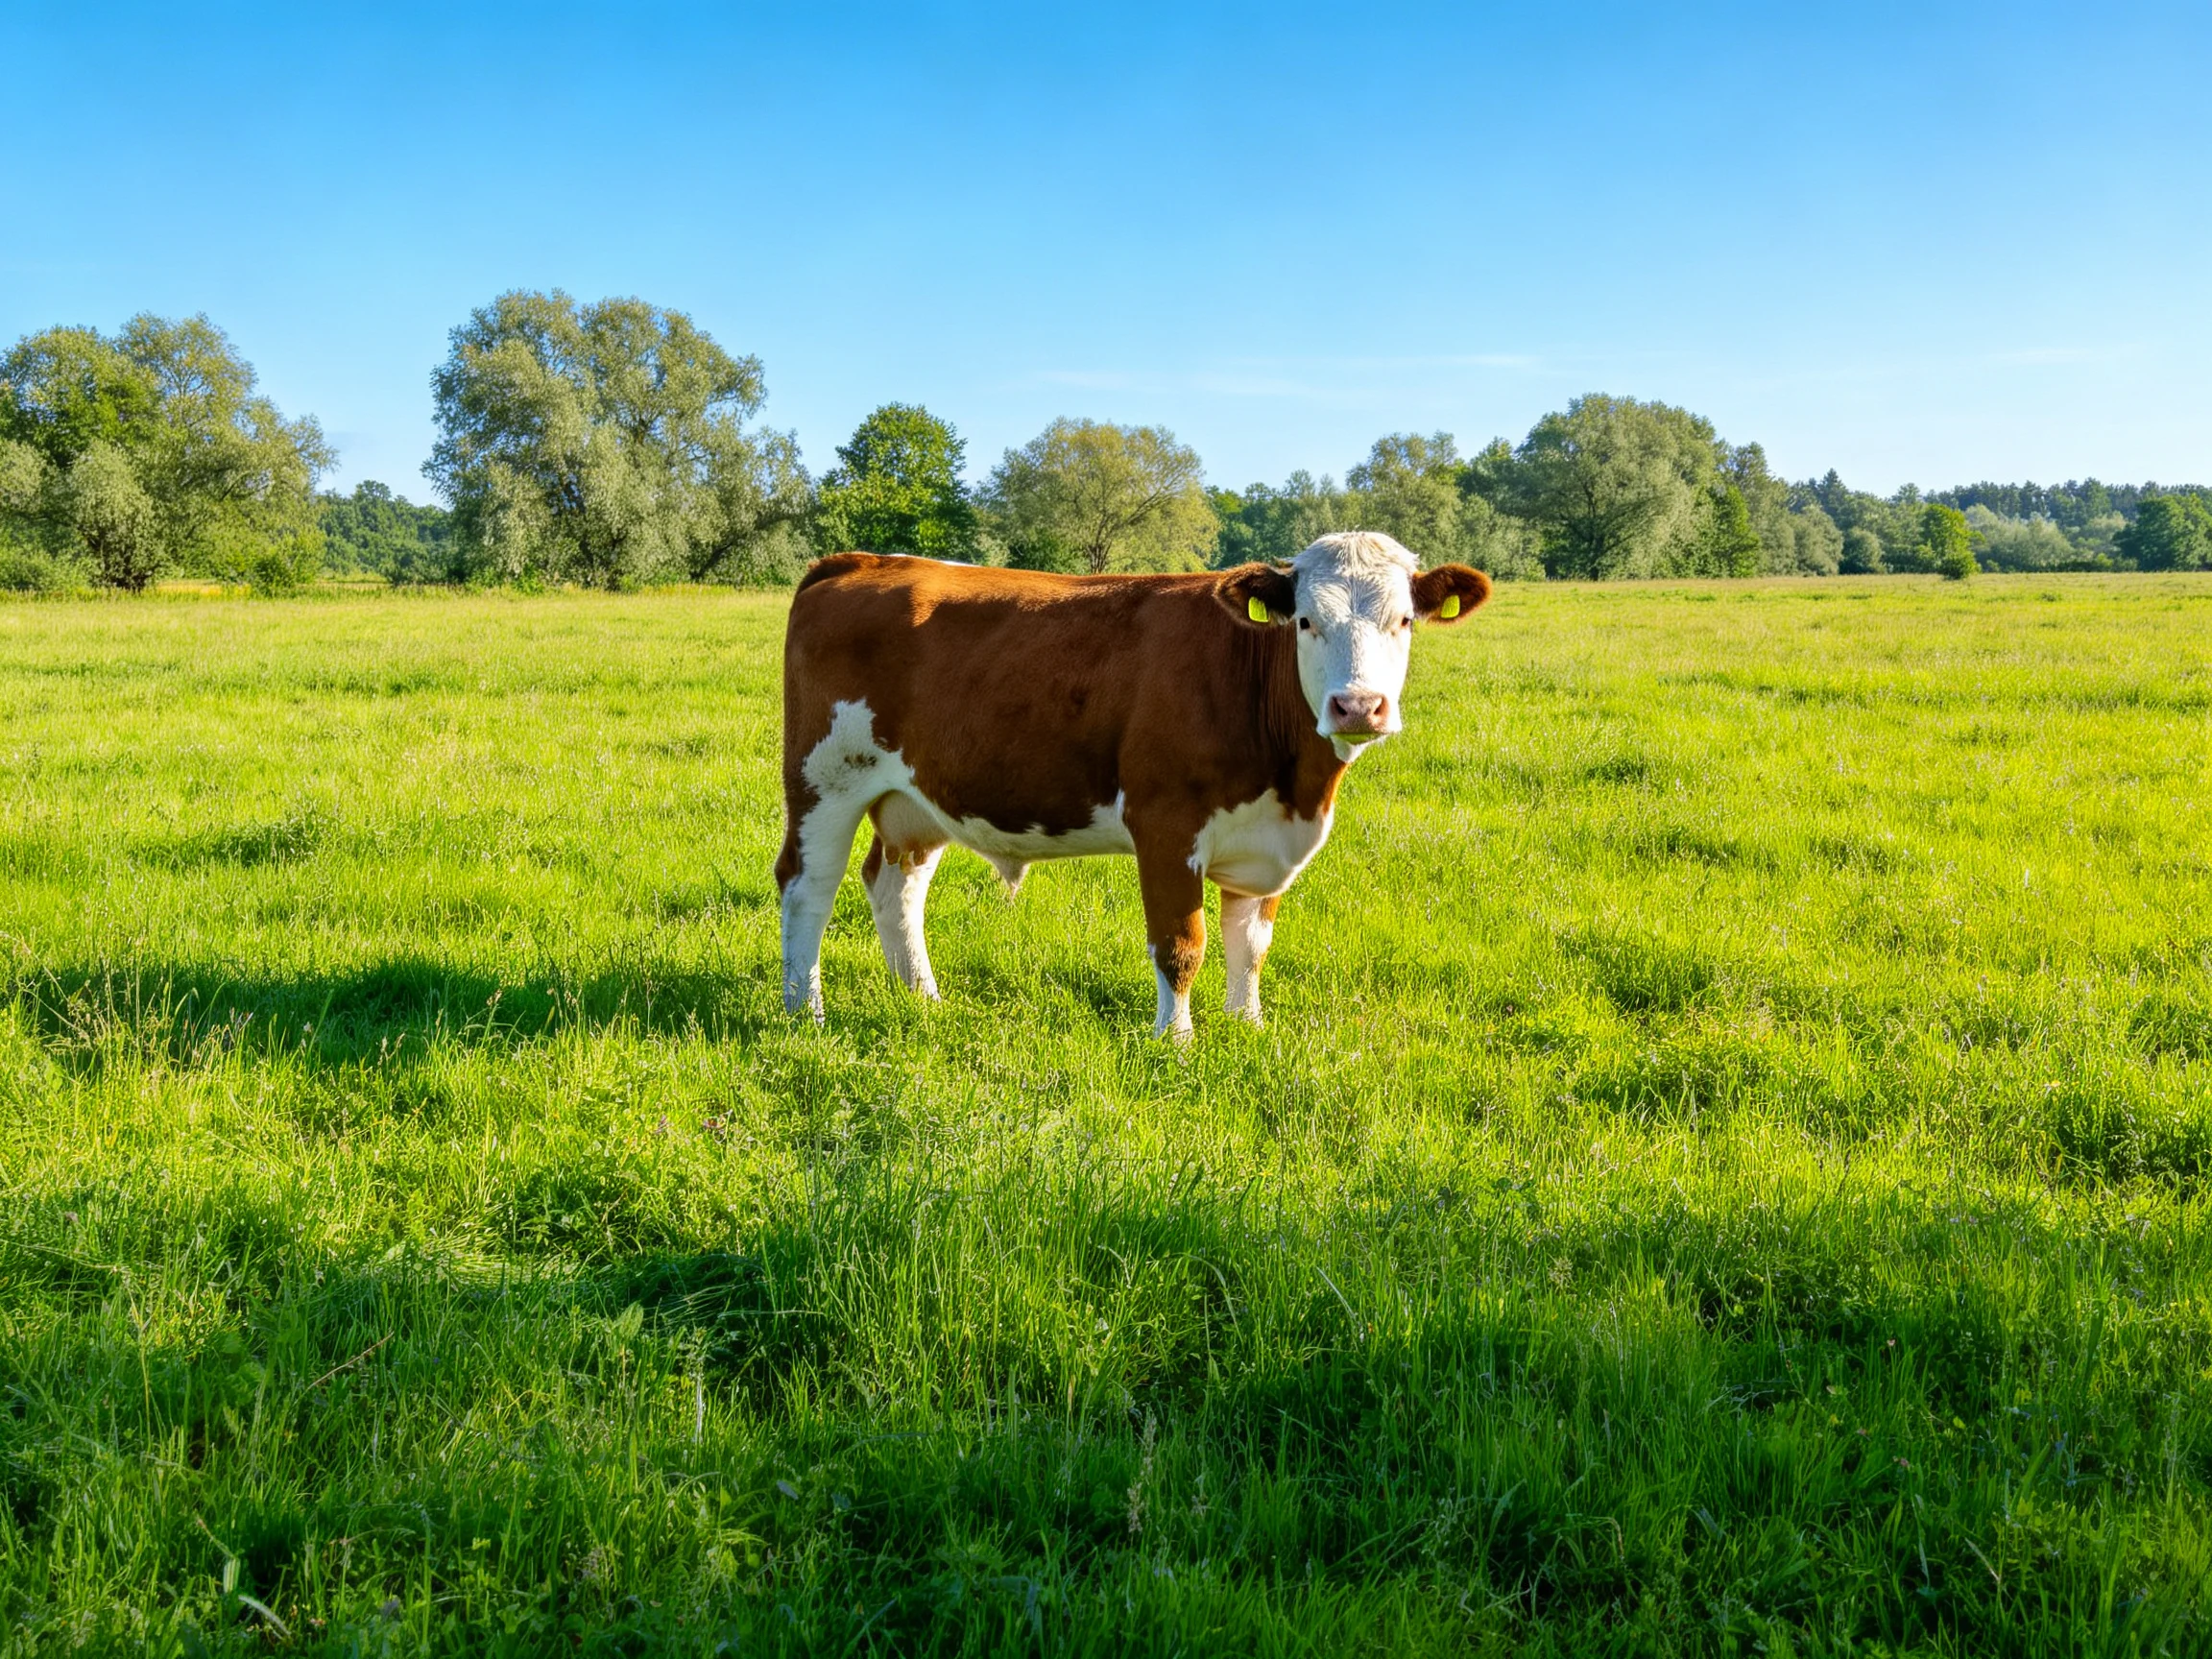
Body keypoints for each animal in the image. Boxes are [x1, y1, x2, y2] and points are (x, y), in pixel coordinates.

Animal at [775, 531, 1492, 1037]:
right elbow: (1181, 945)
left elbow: (1251, 944)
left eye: (1404, 621)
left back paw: (925, 1000)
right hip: (823, 780)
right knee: (806, 885)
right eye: (1306, 621)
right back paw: (804, 1014)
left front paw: (1248, 1026)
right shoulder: (1167, 823)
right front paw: (1176, 1042)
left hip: (915, 797)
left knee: (896, 884)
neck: (1297, 784)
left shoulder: (1265, 839)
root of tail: (860, 562)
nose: (1358, 706)